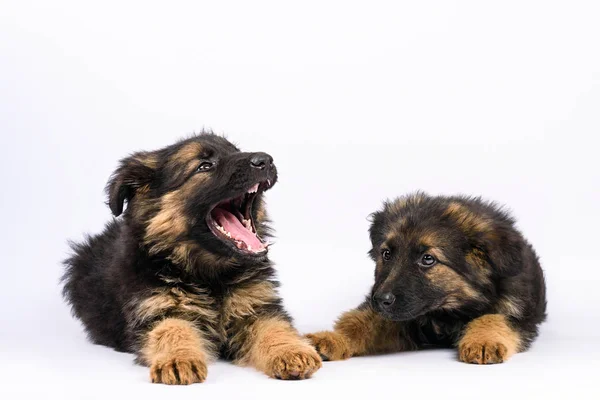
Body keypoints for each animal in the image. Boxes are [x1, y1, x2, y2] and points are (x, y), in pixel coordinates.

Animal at [63, 134, 322, 384]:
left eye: (235, 151)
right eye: (204, 166)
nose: (265, 160)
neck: (210, 274)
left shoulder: (255, 308)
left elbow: (273, 327)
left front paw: (291, 351)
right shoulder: (158, 310)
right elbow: (173, 330)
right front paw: (178, 360)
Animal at [308, 192, 548, 364]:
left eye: (428, 259)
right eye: (386, 254)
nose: (381, 300)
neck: (447, 312)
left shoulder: (518, 308)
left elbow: (495, 317)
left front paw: (484, 339)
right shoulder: (401, 316)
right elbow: (362, 322)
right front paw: (333, 338)